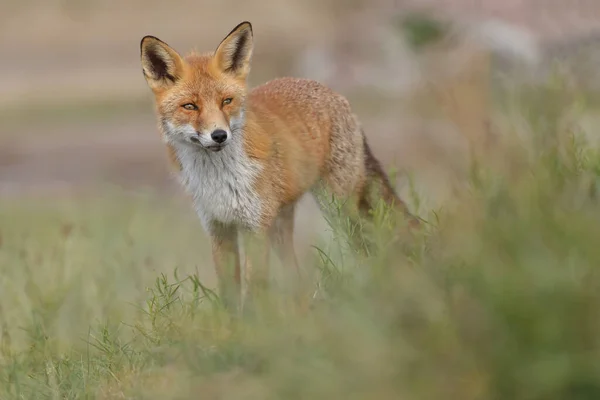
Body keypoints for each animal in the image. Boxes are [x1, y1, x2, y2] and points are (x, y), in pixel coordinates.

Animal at [139, 21, 418, 310]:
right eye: (190, 106)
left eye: (226, 101)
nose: (219, 135)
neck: (221, 180)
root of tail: (332, 92)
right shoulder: (218, 227)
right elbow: (229, 295)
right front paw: (232, 322)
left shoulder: (254, 227)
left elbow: (255, 289)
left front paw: (254, 320)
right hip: (281, 225)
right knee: (296, 275)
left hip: (338, 208)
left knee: (365, 246)